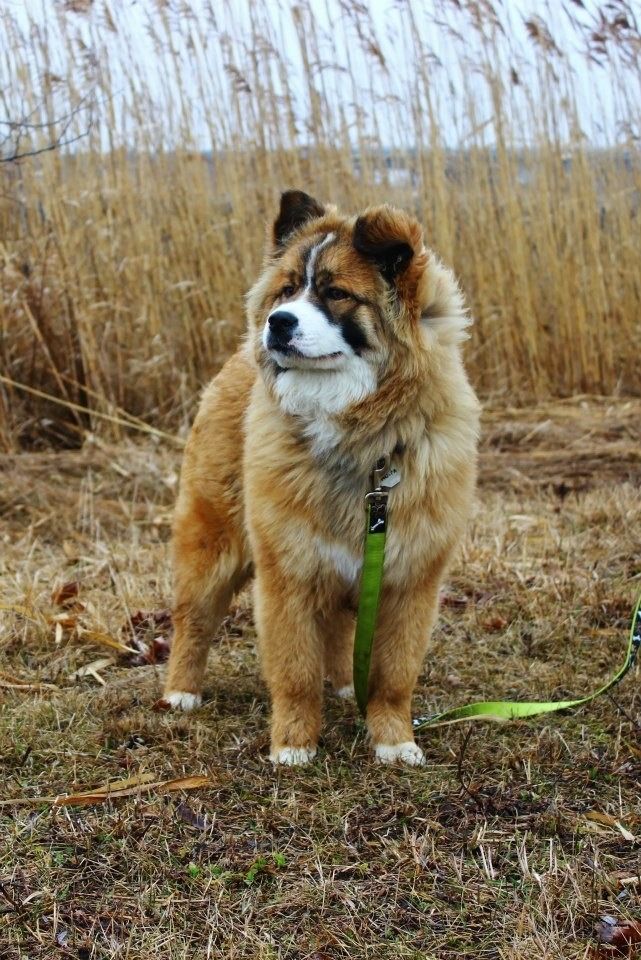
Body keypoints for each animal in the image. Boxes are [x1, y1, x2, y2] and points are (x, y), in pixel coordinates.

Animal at [162, 191, 478, 768]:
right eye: (288, 289)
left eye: (335, 293)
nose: (277, 322)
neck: (364, 442)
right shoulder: (288, 574)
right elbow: (295, 673)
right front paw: (293, 744)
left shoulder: (409, 582)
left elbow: (394, 675)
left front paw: (393, 739)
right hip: (211, 548)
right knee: (192, 620)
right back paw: (181, 692)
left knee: (339, 630)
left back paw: (347, 686)